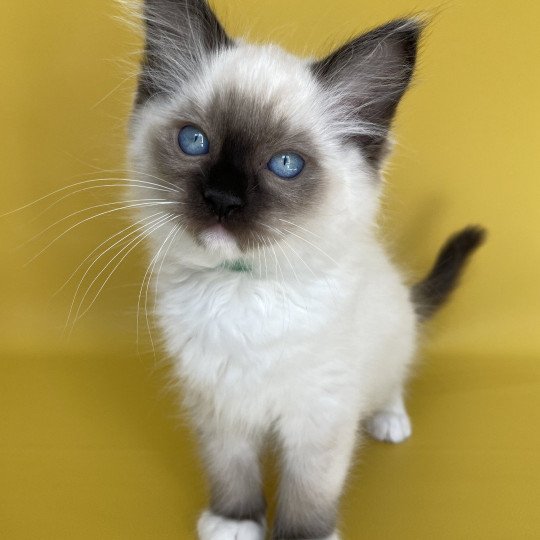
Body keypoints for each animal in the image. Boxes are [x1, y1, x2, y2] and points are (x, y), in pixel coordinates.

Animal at [125, 1, 486, 540]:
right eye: (194, 140)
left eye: (285, 165)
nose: (222, 199)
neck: (242, 286)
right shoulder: (219, 403)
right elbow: (232, 469)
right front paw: (235, 521)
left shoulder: (321, 414)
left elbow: (308, 490)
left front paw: (301, 533)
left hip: (391, 341)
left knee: (394, 378)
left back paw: (390, 422)